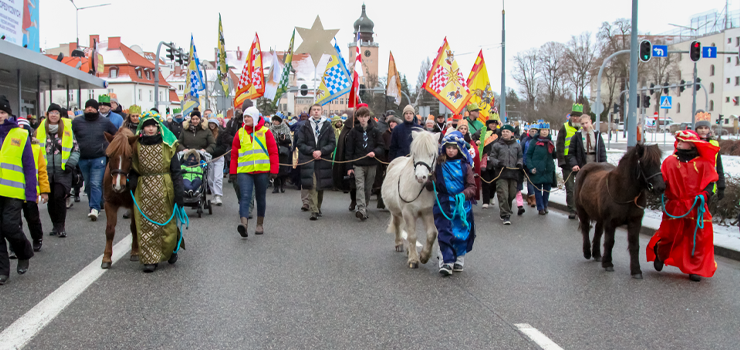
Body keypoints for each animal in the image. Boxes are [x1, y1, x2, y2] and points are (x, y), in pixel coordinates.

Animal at [101, 130, 139, 270]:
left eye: (129, 157)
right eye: (110, 156)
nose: (118, 186)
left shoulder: (134, 204)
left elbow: (134, 227)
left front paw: (135, 252)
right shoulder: (109, 203)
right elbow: (110, 230)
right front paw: (106, 258)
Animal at [382, 130, 440, 270]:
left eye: (432, 154)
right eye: (415, 153)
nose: (420, 177)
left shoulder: (428, 212)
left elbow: (432, 234)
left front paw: (424, 256)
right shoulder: (408, 212)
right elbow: (412, 236)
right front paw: (413, 260)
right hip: (396, 212)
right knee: (398, 225)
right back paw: (399, 244)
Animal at [576, 143, 668, 278]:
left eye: (659, 162)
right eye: (645, 163)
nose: (660, 187)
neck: (625, 193)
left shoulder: (635, 222)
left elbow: (634, 245)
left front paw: (636, 271)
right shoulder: (610, 222)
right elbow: (610, 242)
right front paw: (608, 264)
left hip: (600, 218)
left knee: (598, 231)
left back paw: (597, 254)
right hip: (582, 211)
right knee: (585, 229)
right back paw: (587, 252)